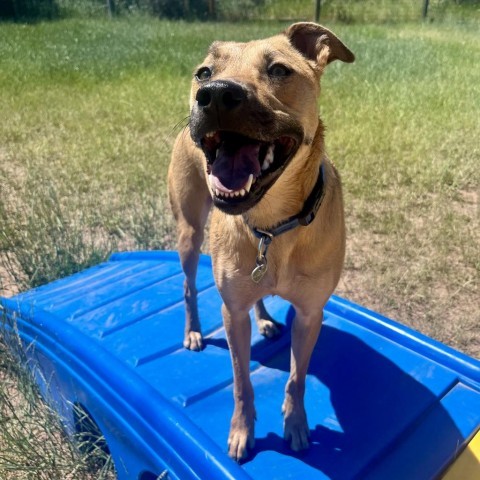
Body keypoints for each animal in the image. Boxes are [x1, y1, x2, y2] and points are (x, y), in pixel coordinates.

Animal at [168, 23, 352, 462]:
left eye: (279, 70)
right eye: (203, 72)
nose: (214, 94)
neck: (274, 225)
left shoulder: (310, 314)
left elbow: (297, 379)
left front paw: (297, 425)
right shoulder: (231, 313)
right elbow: (241, 383)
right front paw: (241, 432)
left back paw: (266, 319)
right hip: (189, 232)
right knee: (187, 286)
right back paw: (193, 330)